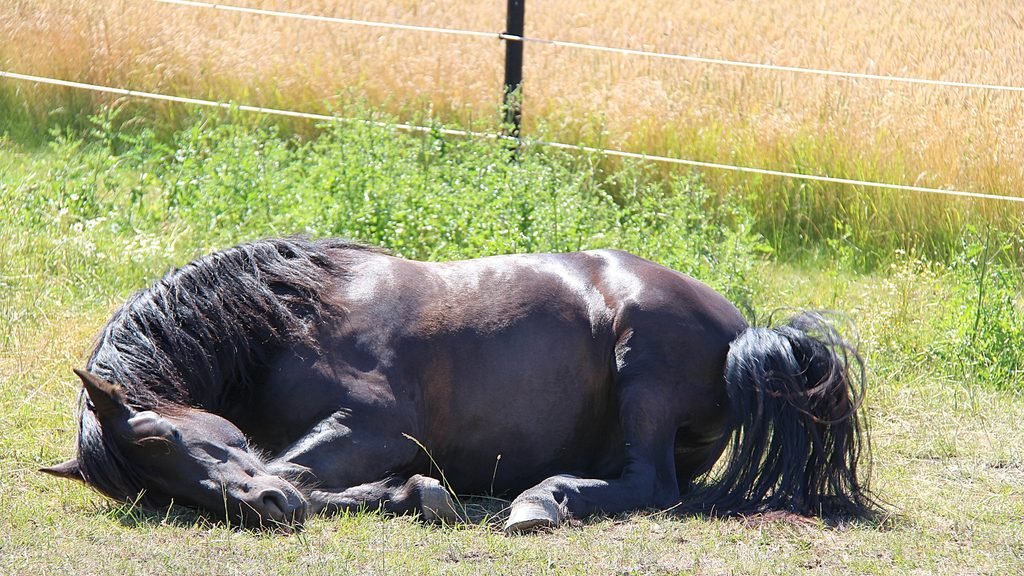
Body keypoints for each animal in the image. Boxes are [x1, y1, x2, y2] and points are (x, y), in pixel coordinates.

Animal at [42, 237, 876, 532]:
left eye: (157, 435)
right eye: (154, 488)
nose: (261, 512)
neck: (288, 318)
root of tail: (744, 331)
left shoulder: (375, 427)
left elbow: (295, 470)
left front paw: (412, 494)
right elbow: (304, 477)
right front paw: (408, 495)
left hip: (643, 369)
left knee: (652, 485)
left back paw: (540, 502)